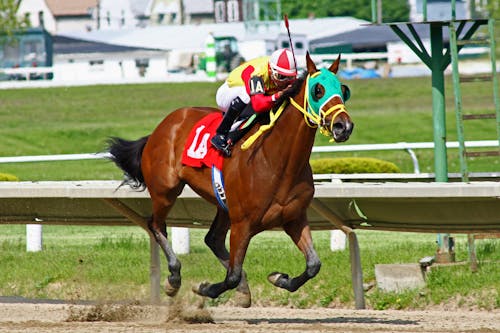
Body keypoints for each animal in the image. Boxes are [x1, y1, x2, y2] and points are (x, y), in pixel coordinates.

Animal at [108, 52, 354, 306]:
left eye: (343, 90)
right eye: (318, 90)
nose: (343, 126)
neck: (278, 162)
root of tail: (163, 126)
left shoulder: (294, 218)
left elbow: (314, 265)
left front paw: (279, 278)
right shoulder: (242, 224)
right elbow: (232, 275)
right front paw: (204, 288)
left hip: (223, 204)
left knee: (213, 239)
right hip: (165, 190)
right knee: (156, 226)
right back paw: (174, 278)